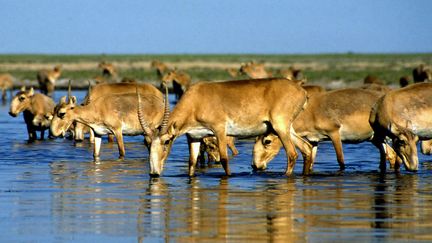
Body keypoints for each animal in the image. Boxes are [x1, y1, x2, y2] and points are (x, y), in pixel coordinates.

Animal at [142, 78, 308, 177]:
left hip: (280, 127)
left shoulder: (220, 130)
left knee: (292, 154)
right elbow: (192, 162)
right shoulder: (194, 137)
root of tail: (302, 91)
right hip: (287, 129)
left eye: (166, 141)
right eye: (148, 143)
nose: (154, 172)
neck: (196, 100)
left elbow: (224, 159)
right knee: (306, 148)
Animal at [253, 88, 398, 174]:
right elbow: (311, 162)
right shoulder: (314, 141)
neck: (310, 112)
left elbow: (341, 160)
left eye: (267, 141)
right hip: (375, 139)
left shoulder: (334, 134)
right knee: (391, 155)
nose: (255, 166)